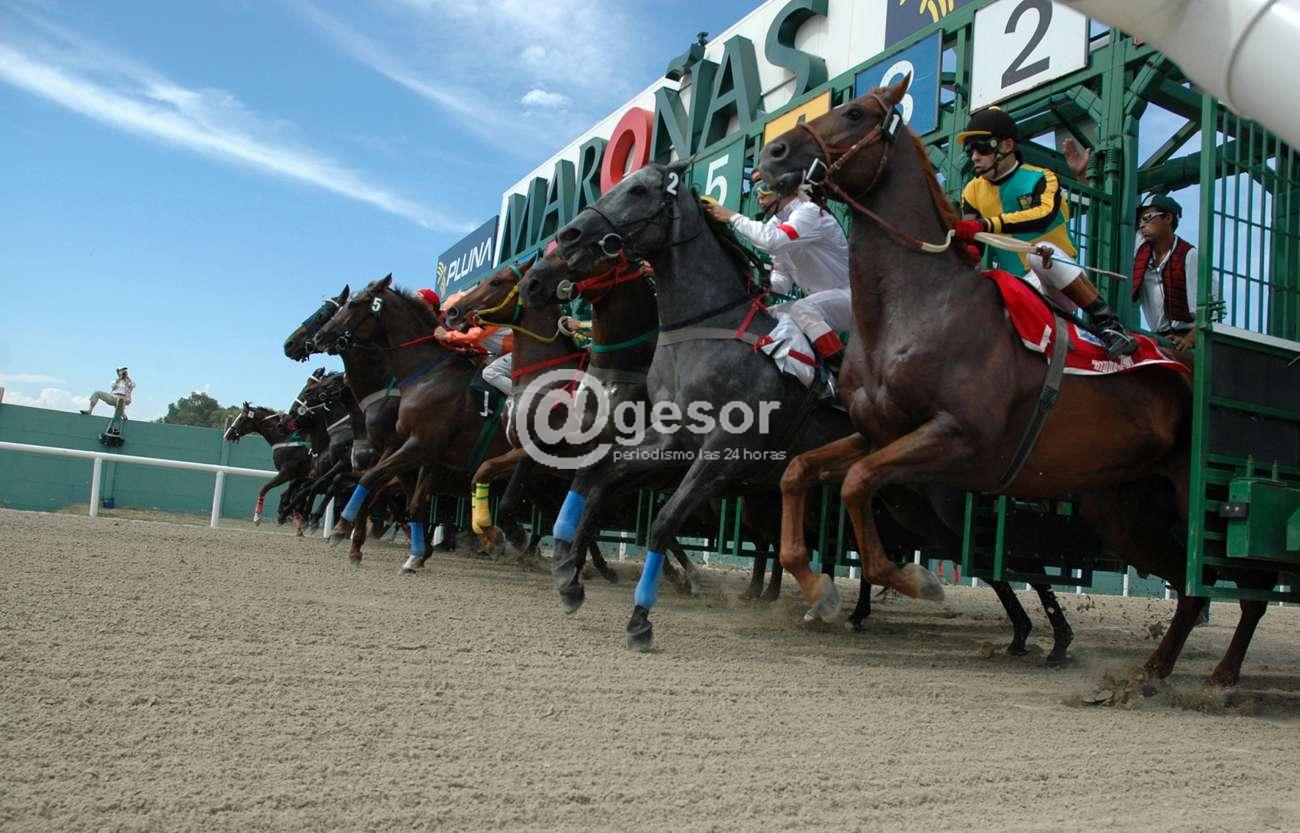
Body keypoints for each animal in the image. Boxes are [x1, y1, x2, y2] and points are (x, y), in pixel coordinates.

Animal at [756, 75, 1274, 686]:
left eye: (856, 113)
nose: (772, 153)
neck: (918, 305)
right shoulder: (879, 434)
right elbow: (799, 472)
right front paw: (818, 587)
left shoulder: (958, 438)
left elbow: (858, 483)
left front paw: (915, 581)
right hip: (1124, 508)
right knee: (1193, 589)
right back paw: (1152, 673)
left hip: (1192, 493)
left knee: (1243, 587)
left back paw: (1217, 676)